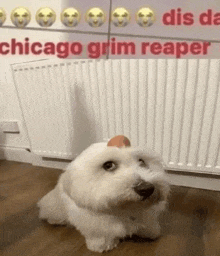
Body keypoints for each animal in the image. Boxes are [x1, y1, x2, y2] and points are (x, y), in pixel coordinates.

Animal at [37, 136, 169, 252]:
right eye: (108, 165)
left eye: (142, 161)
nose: (146, 188)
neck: (125, 208)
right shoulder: (95, 224)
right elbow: (100, 235)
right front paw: (101, 246)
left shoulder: (148, 215)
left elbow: (148, 224)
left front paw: (151, 232)